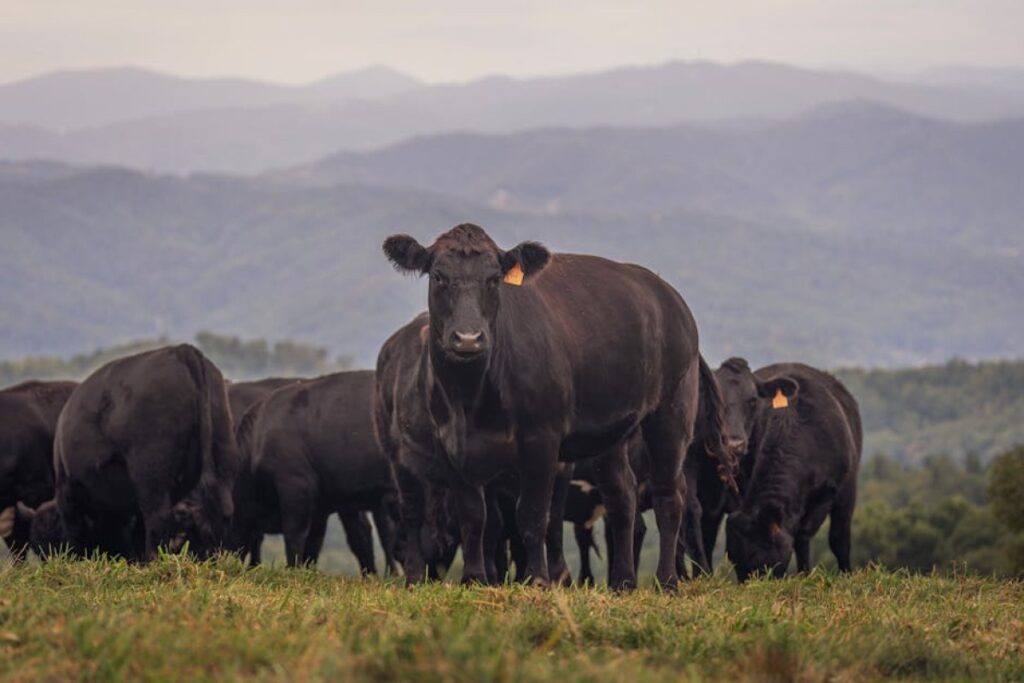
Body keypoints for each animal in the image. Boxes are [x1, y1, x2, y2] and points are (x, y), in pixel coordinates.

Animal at [20, 345, 238, 561]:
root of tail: (183, 351)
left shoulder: (69, 494)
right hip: (222, 455)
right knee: (223, 509)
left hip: (150, 475)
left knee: (158, 517)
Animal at [377, 223, 732, 588]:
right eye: (438, 276)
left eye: (493, 279)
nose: (468, 338)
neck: (471, 399)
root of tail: (668, 295)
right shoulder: (448, 445)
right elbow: (473, 517)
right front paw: (474, 579)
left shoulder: (541, 440)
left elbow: (533, 515)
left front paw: (538, 579)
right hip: (613, 432)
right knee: (622, 496)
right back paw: (623, 583)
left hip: (671, 411)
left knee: (669, 496)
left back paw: (667, 581)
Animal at [722, 360, 862, 581]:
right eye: (733, 558)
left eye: (759, 557)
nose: (751, 584)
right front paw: (804, 574)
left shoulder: (844, 488)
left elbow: (837, 538)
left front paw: (844, 575)